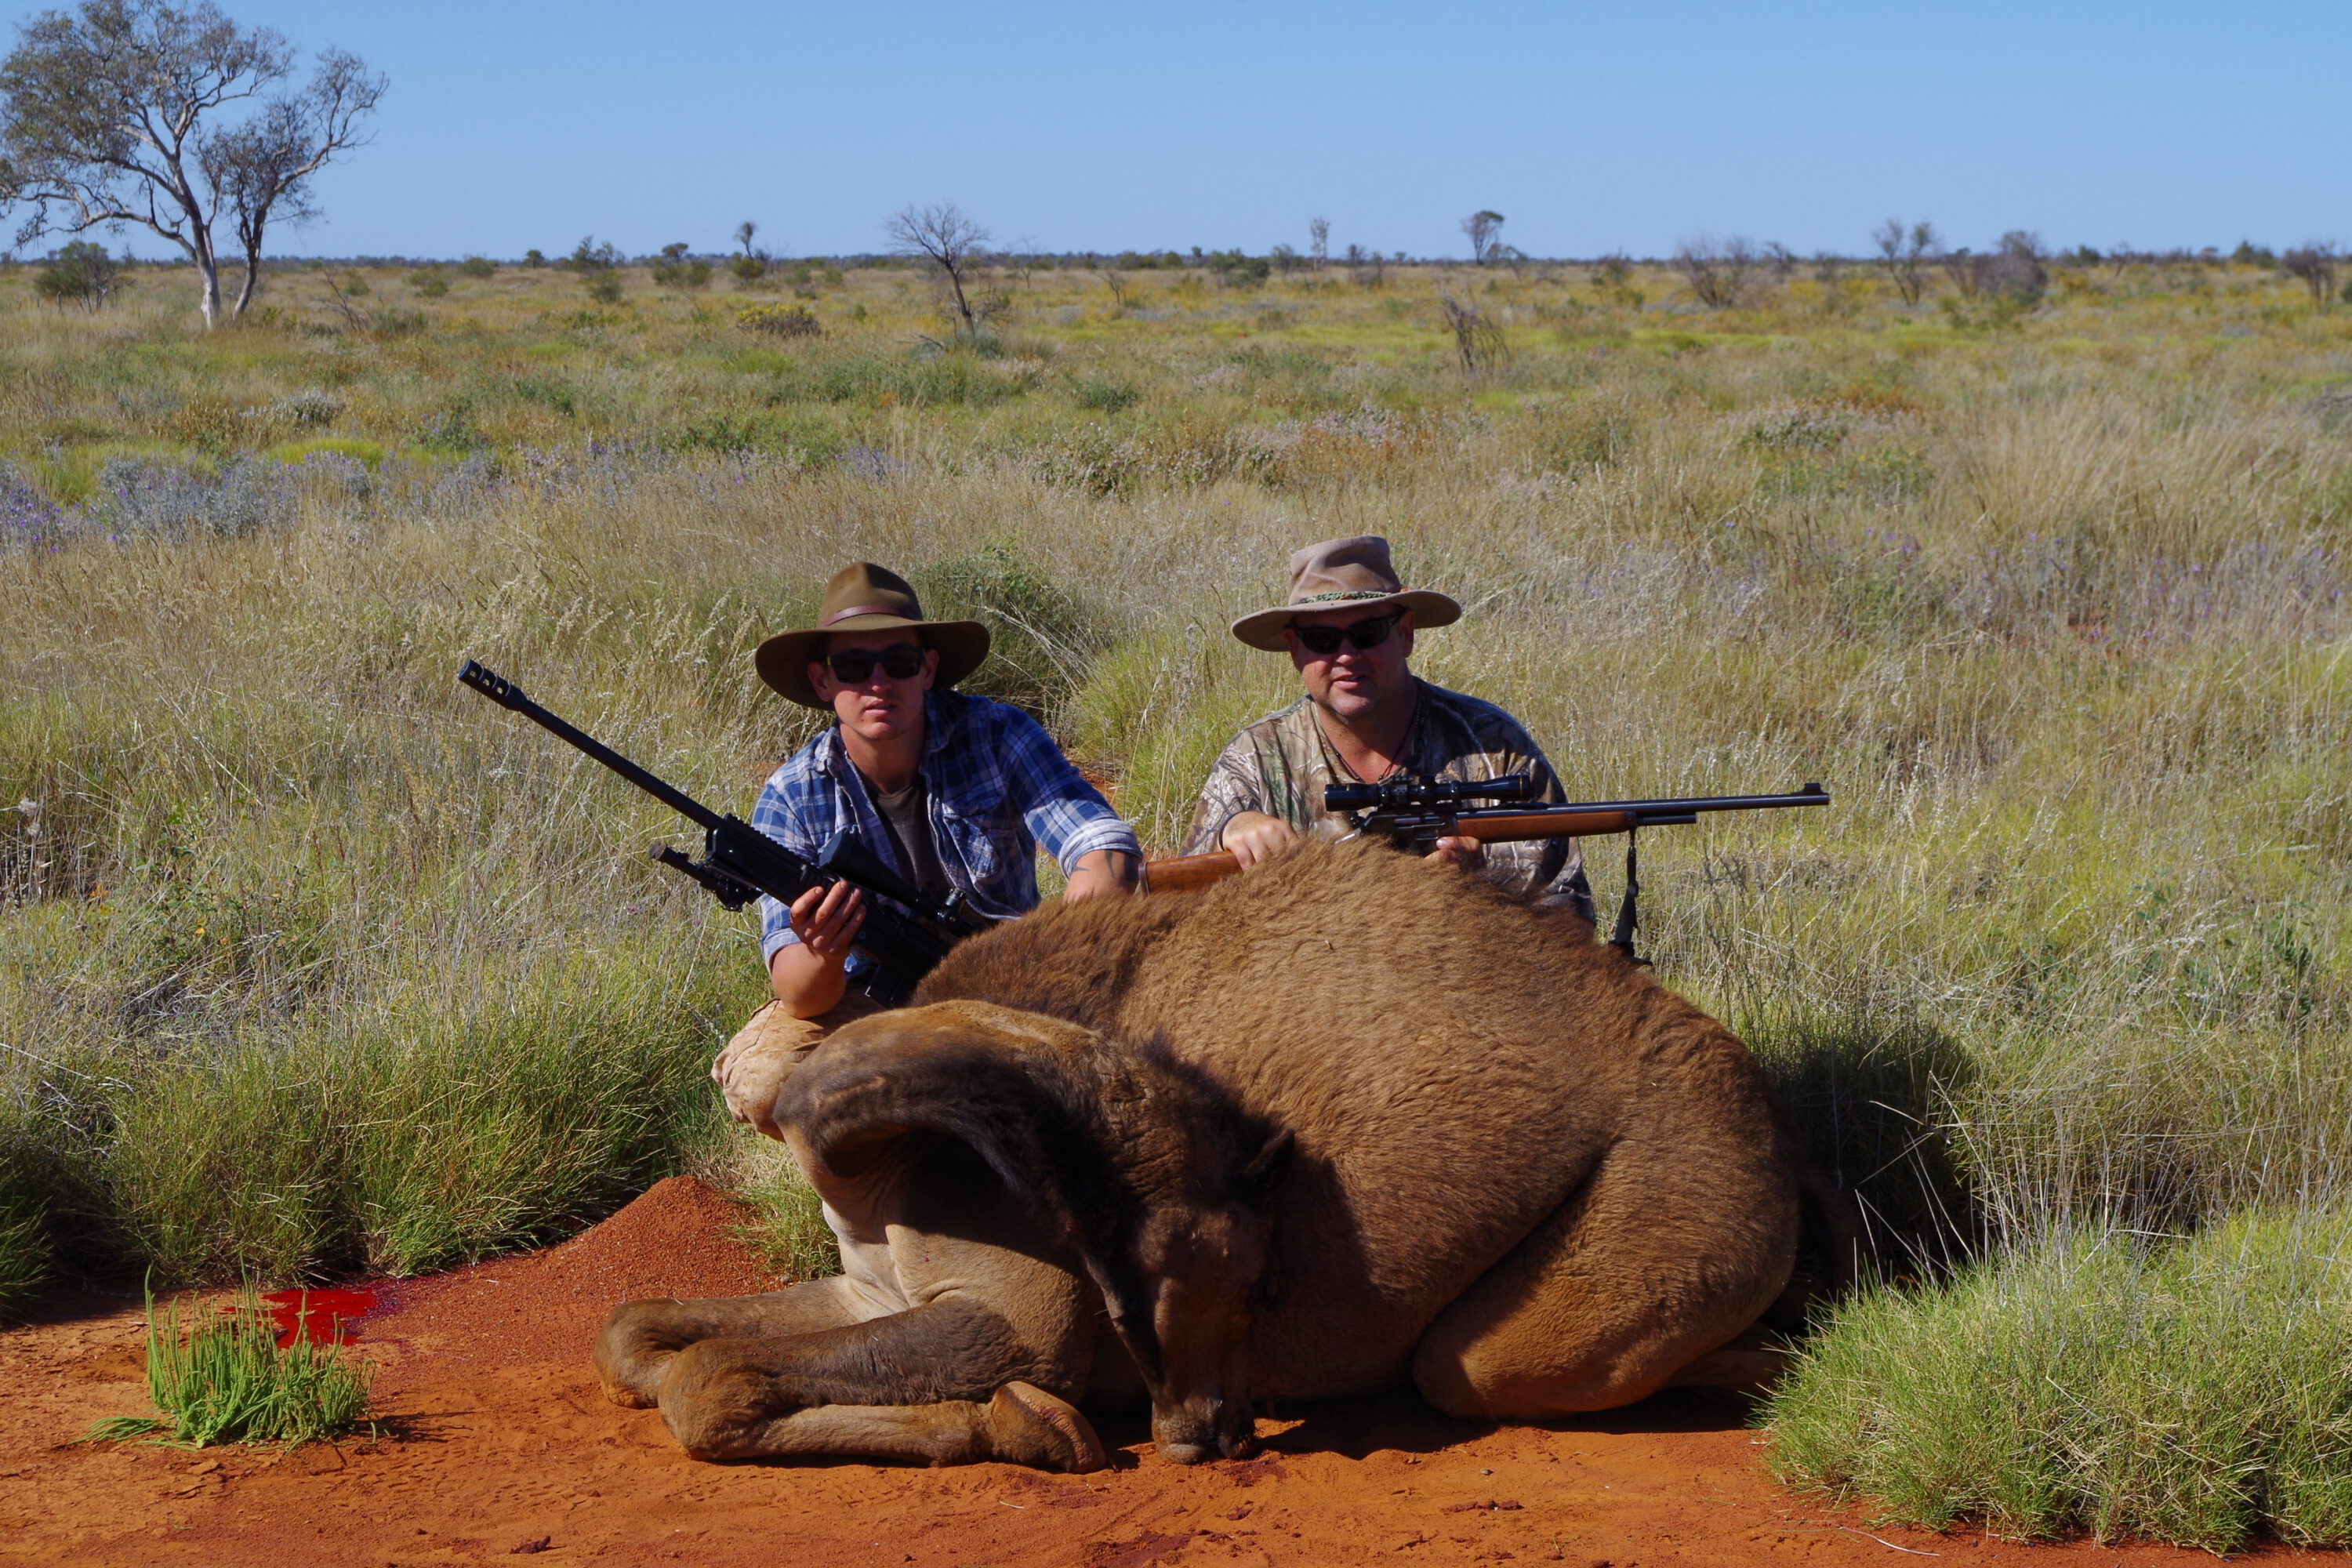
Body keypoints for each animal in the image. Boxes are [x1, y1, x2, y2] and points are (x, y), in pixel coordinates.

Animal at [597, 846, 1825, 1476]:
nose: (1202, 1433)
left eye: (1256, 1284)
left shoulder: (1020, 1316)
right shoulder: (866, 1285)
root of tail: (1768, 1123)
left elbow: (710, 1381)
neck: (875, 1165)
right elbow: (642, 1336)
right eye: (1138, 1299)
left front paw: (1028, 1426)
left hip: (1637, 1238)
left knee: (1475, 1366)